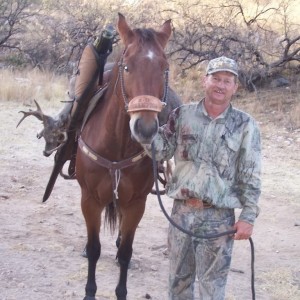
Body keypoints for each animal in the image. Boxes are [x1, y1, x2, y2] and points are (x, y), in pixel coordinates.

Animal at [77, 12, 173, 298]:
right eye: (127, 67)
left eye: (164, 68)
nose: (146, 128)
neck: (116, 145)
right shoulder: (90, 200)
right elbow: (95, 249)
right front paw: (89, 291)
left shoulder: (135, 204)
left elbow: (125, 253)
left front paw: (121, 291)